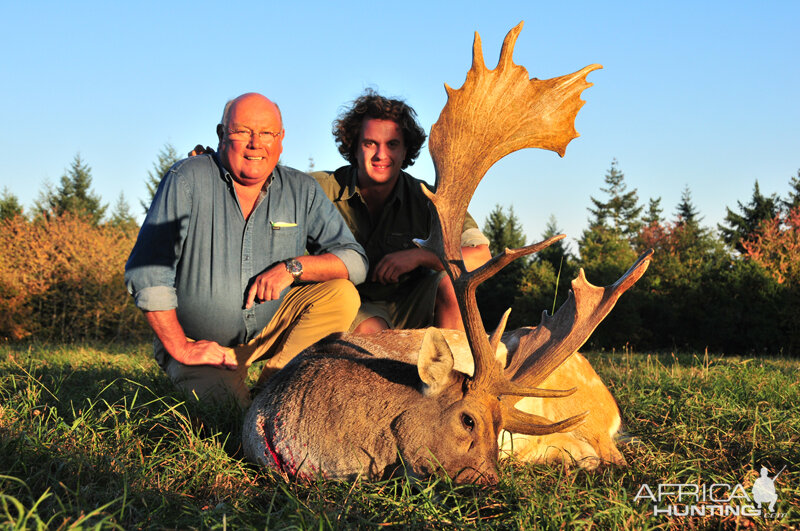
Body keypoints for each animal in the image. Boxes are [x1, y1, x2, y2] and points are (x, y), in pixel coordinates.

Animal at [242, 22, 648, 484]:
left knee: (605, 454)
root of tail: (612, 407)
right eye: (468, 420)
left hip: (586, 414)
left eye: (496, 427)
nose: (490, 480)